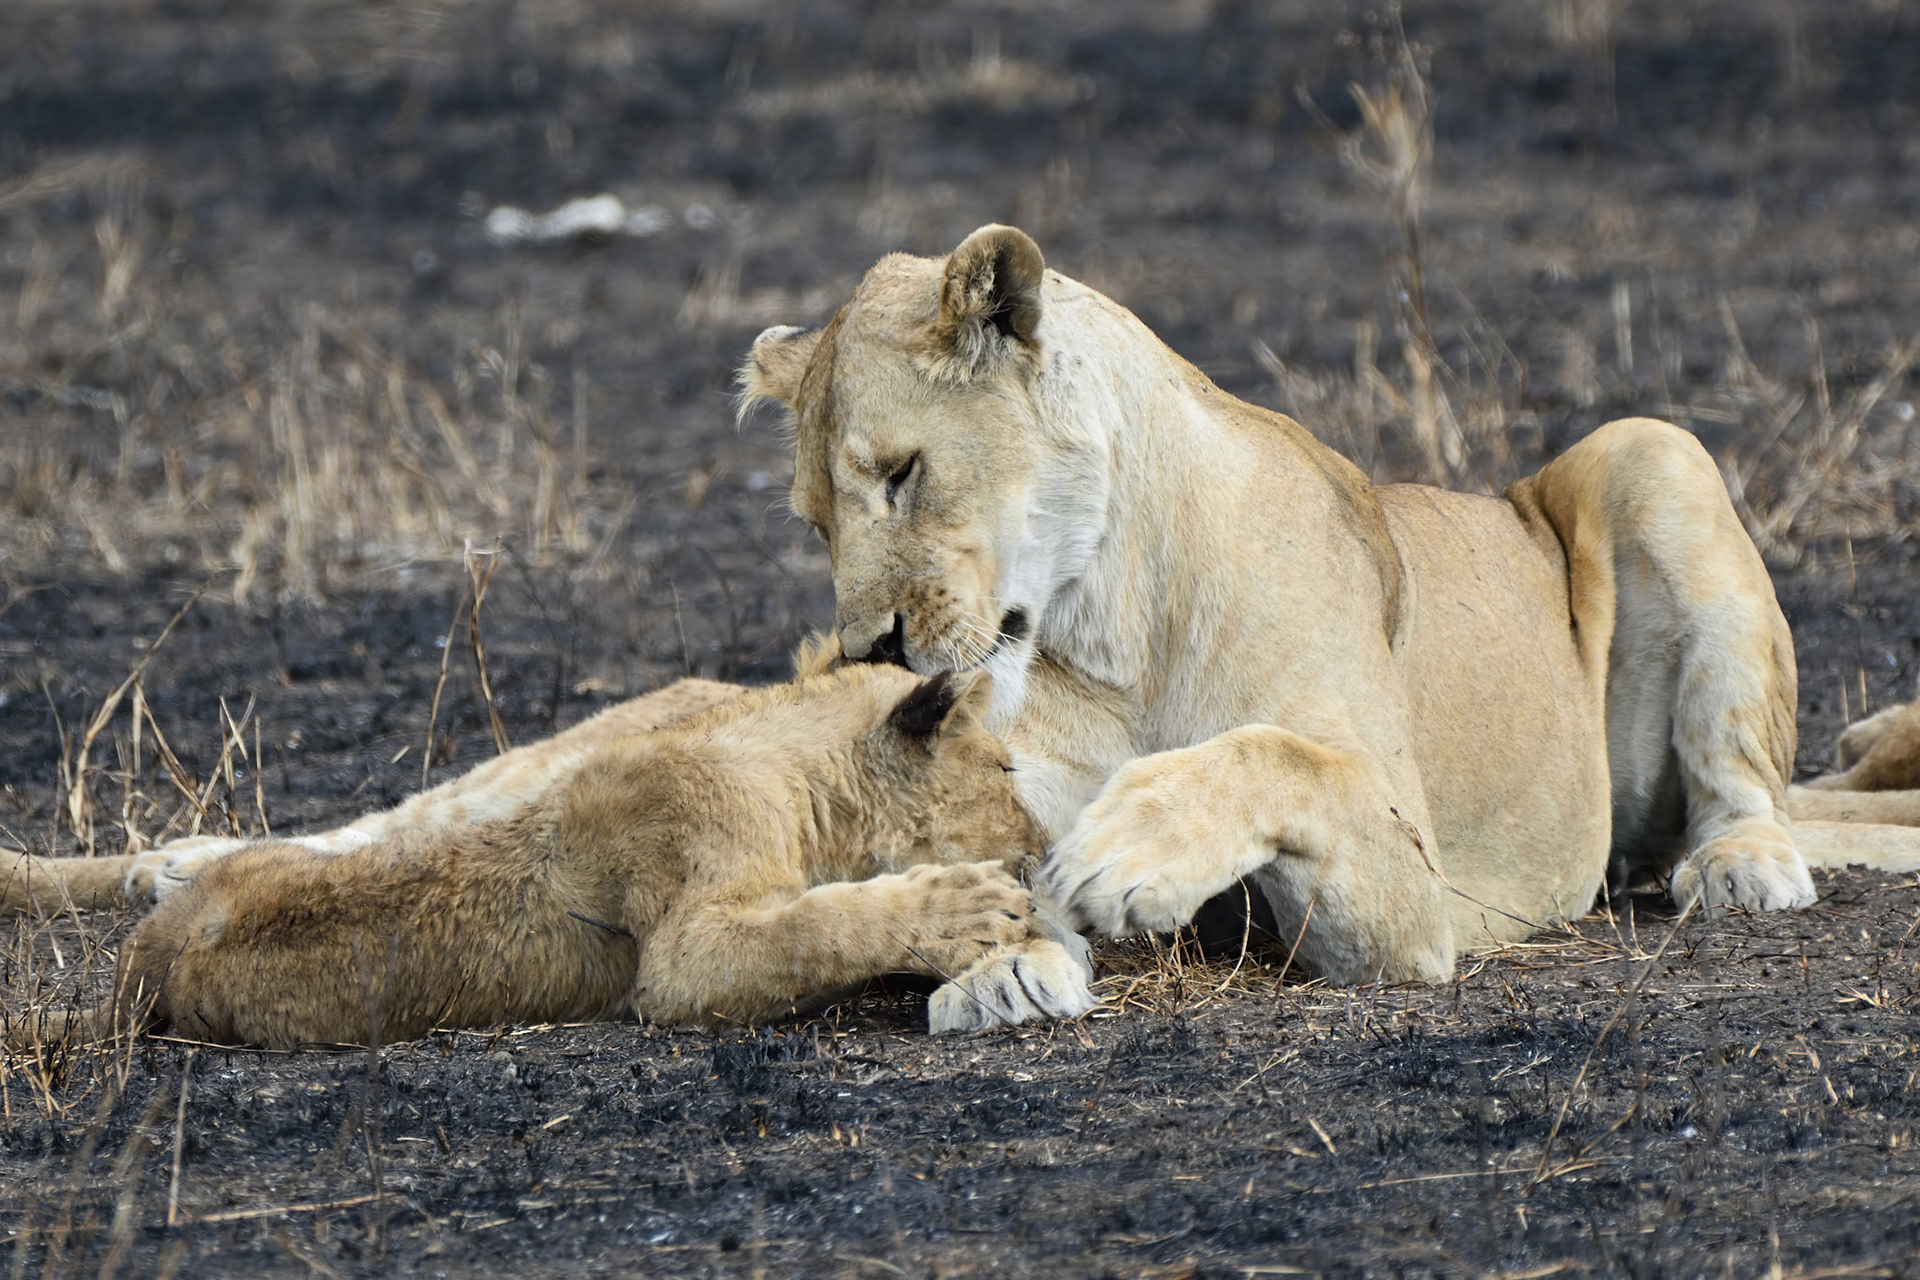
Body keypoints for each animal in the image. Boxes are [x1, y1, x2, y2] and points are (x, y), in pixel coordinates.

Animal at [5, 658, 1096, 1048]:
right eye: (1004, 766)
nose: (1044, 843)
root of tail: (146, 964)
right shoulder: (681, 953)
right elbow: (821, 922)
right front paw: (979, 907)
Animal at [737, 223, 1920, 1004]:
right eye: (812, 521)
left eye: (902, 472)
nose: (870, 648)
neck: (1107, 628)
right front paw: (1004, 964)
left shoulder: (1414, 893)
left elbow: (1275, 754)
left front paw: (1129, 848)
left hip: (1653, 449)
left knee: (1745, 784)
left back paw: (1743, 865)